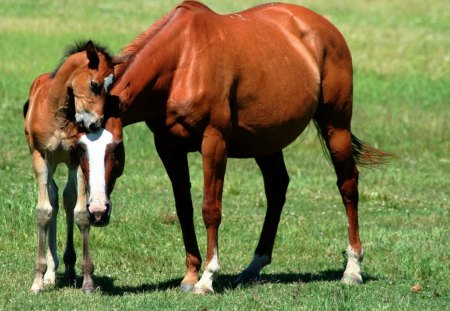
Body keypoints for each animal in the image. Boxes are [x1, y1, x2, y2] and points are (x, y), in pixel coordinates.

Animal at [23, 40, 117, 294]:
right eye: (95, 84)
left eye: (111, 89)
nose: (94, 125)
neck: (58, 114)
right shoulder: (40, 156)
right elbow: (44, 211)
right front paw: (38, 280)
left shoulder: (77, 157)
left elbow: (81, 212)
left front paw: (87, 280)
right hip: (51, 162)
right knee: (55, 198)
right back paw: (51, 272)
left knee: (66, 198)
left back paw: (68, 267)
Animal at [82, 1, 392, 294]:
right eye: (79, 149)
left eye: (116, 148)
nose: (97, 211)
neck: (182, 61)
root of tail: (324, 27)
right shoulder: (168, 147)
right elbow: (184, 208)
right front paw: (190, 274)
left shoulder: (214, 142)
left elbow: (210, 209)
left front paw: (207, 278)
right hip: (267, 141)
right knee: (277, 187)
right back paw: (254, 266)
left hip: (335, 126)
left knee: (347, 184)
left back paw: (352, 269)